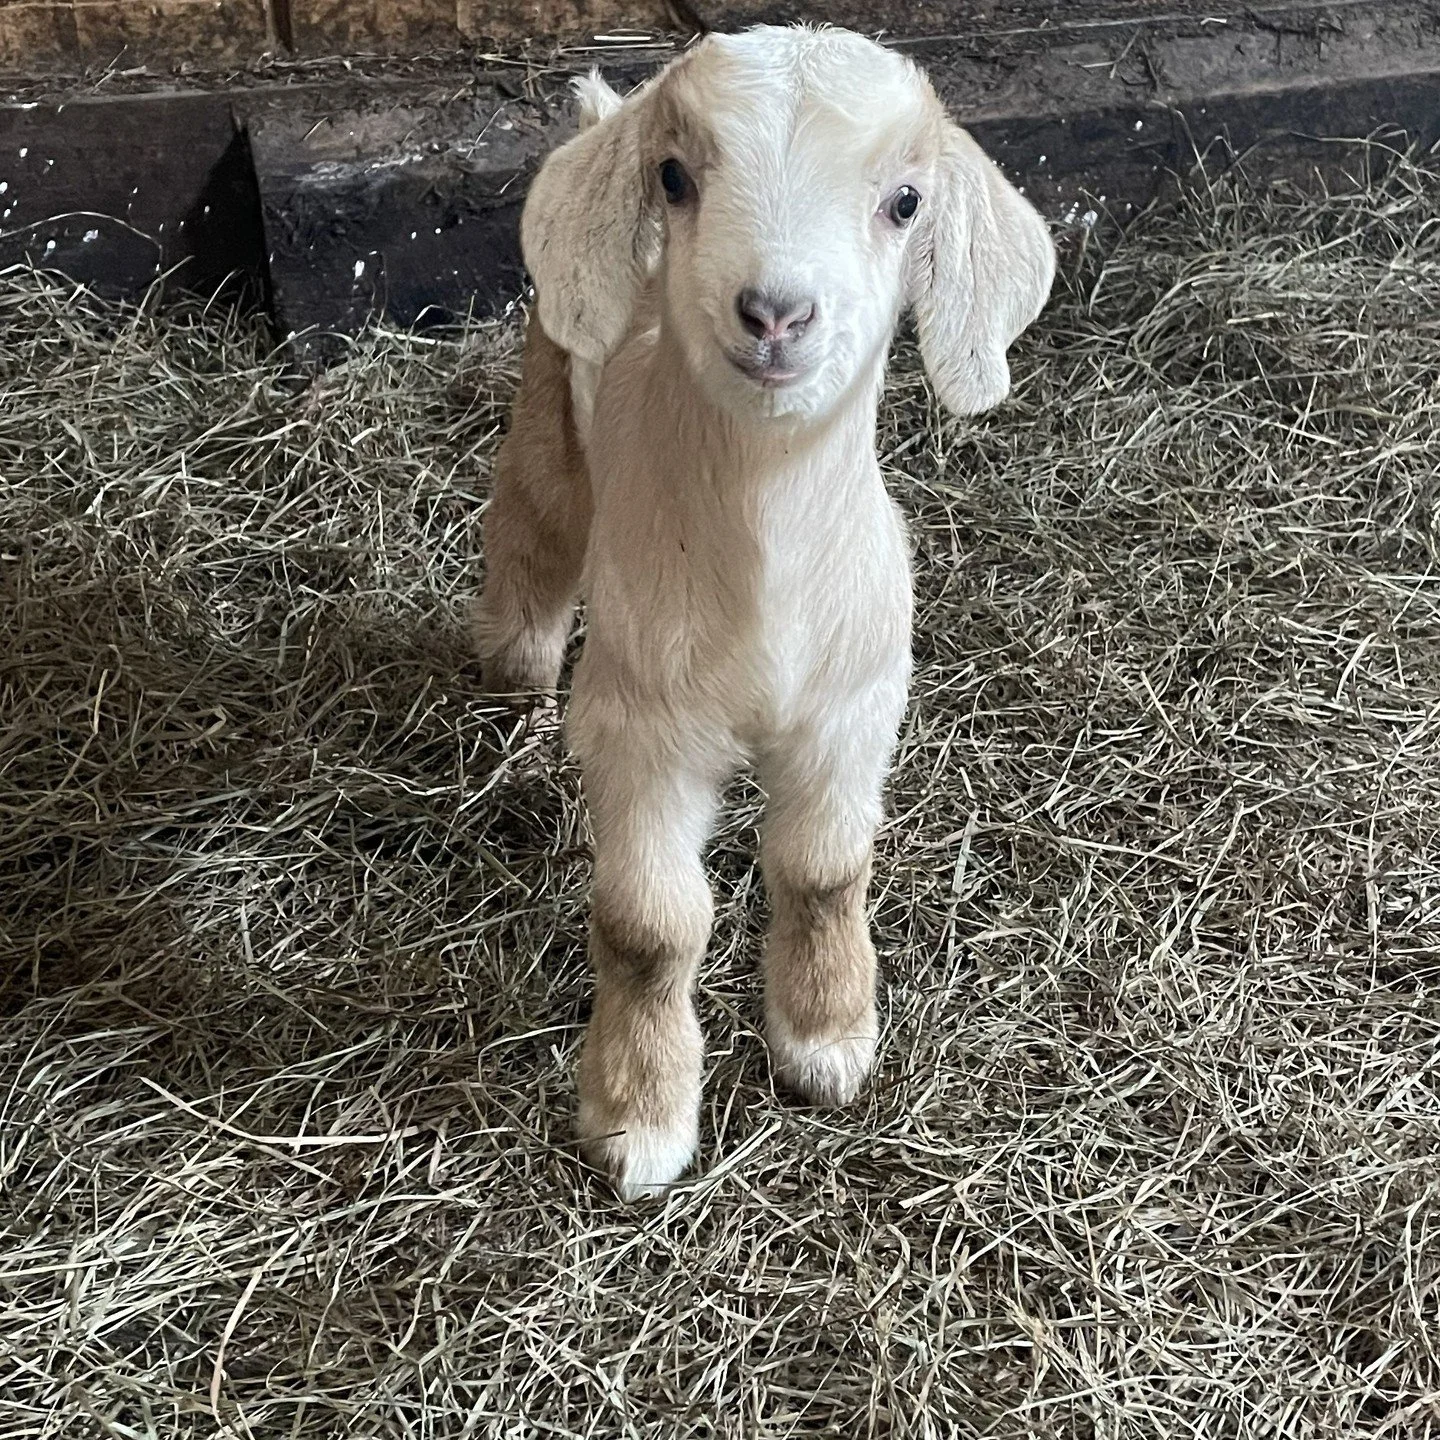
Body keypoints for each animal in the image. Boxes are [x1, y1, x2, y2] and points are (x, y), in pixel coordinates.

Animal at [474, 25, 1055, 1199]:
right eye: (674, 177)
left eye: (906, 201)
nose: (776, 312)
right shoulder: (641, 727)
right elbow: (649, 925)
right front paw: (639, 1119)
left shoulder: (854, 708)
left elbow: (825, 872)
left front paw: (826, 1040)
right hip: (549, 415)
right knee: (529, 544)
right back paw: (511, 693)